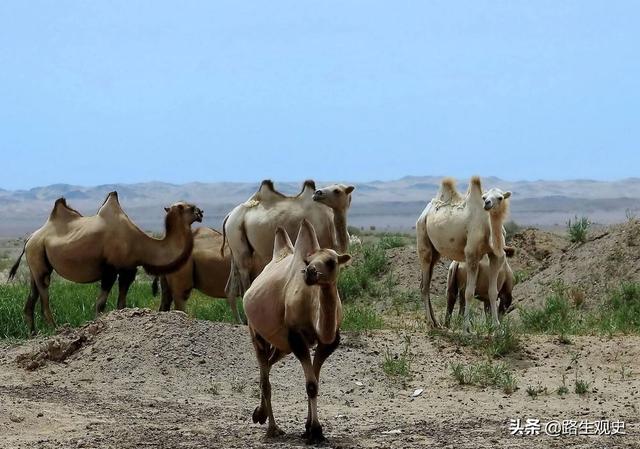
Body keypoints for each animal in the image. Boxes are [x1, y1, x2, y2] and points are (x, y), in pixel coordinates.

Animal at [8, 191, 201, 334]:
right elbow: (100, 304)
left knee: (31, 298)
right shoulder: (110, 270)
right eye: (187, 207)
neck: (139, 243)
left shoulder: (128, 269)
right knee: (44, 295)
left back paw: (32, 334)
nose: (201, 212)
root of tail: (30, 239)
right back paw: (56, 329)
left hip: (36, 263)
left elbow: (121, 303)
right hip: (38, 255)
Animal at [224, 179, 356, 300]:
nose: (318, 193)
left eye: (337, 190)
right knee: (245, 275)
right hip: (237, 237)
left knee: (231, 287)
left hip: (234, 247)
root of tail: (229, 215)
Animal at [242, 219, 350, 442]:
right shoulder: (297, 337)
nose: (310, 272)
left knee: (268, 365)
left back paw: (260, 414)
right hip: (256, 332)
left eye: (331, 262)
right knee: (265, 375)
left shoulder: (327, 341)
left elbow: (314, 381)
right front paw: (315, 431)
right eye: (307, 262)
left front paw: (309, 428)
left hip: (282, 345)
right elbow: (311, 385)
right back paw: (272, 428)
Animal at [418, 176, 512, 328]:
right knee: (425, 286)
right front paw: (466, 328)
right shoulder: (471, 255)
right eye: (484, 197)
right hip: (422, 237)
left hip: (435, 252)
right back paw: (431, 322)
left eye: (500, 198)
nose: (487, 203)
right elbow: (468, 293)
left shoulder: (496, 256)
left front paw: (497, 327)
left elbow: (492, 292)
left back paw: (436, 321)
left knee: (426, 280)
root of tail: (425, 212)